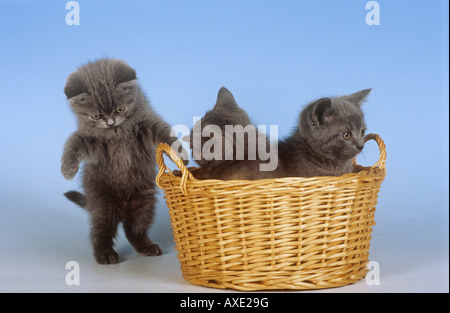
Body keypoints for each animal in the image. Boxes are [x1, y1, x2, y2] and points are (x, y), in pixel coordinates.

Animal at [61, 58, 176, 264]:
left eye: (120, 109)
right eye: (97, 115)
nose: (110, 122)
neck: (117, 131)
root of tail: (122, 207)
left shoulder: (146, 124)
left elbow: (163, 131)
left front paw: (180, 150)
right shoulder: (93, 144)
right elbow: (73, 142)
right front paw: (68, 169)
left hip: (144, 201)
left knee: (133, 229)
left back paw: (146, 247)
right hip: (102, 203)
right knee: (101, 231)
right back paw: (105, 254)